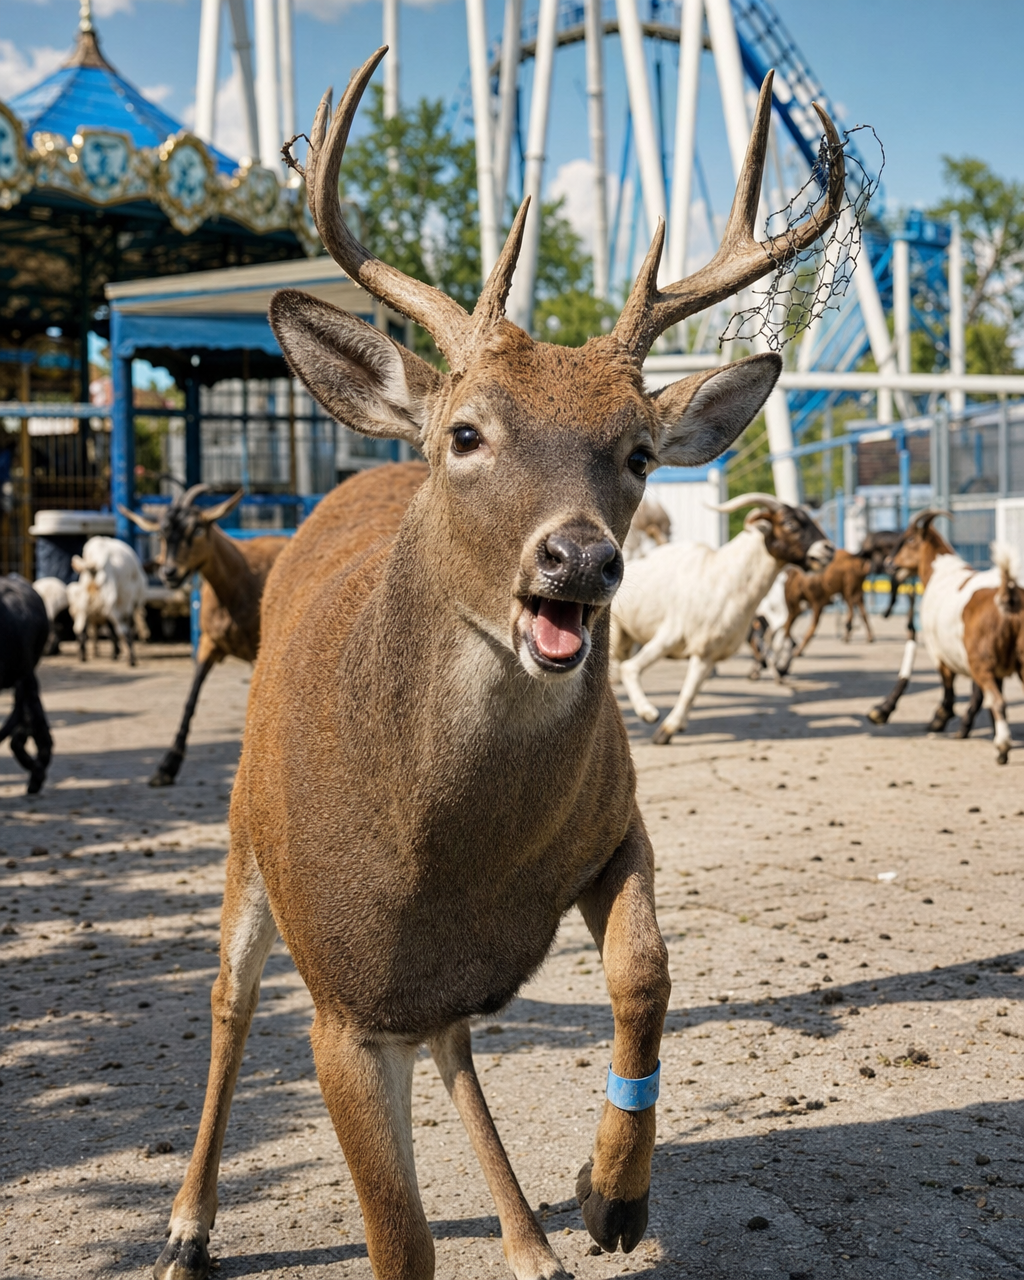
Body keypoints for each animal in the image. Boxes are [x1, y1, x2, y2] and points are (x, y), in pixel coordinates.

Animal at [121, 486, 288, 786]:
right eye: (162, 534)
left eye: (197, 529)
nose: (169, 573)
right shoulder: (209, 644)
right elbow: (191, 697)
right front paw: (166, 766)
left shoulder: (257, 649)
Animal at [152, 48, 844, 1280]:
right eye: (468, 433)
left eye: (638, 450)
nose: (582, 558)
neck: (449, 851)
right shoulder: (342, 1000)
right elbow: (400, 1243)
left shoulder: (613, 822)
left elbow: (645, 972)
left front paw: (610, 1194)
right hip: (244, 835)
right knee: (232, 1001)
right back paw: (187, 1224)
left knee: (454, 1036)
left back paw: (532, 1238)